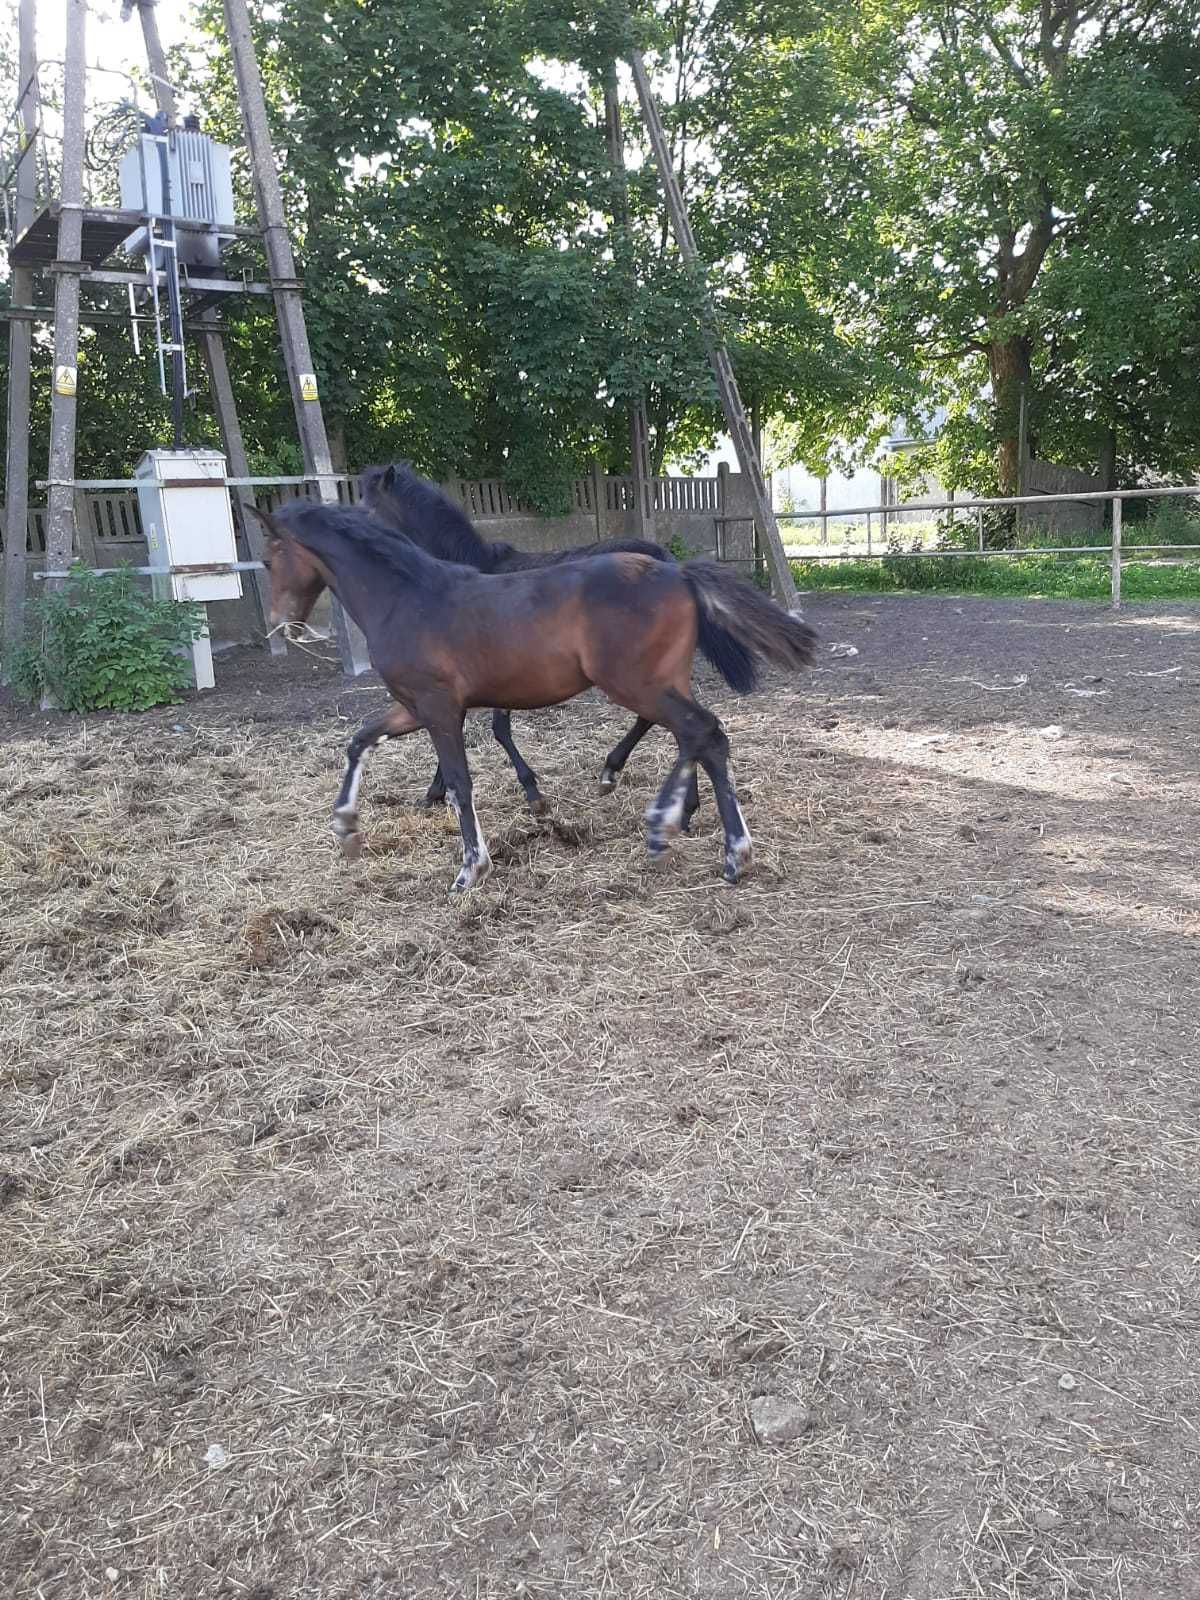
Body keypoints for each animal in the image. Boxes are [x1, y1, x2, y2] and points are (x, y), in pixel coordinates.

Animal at [252, 499, 819, 889]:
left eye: (269, 559)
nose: (281, 624)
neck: (404, 597)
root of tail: (678, 570)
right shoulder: (413, 706)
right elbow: (359, 740)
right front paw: (346, 827)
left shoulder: (438, 708)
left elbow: (459, 782)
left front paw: (471, 869)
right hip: (661, 681)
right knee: (696, 738)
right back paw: (691, 831)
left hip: (635, 683)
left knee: (701, 732)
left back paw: (702, 839)